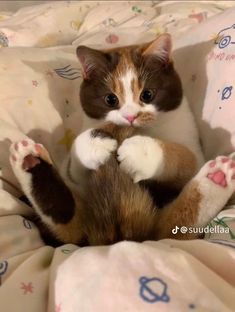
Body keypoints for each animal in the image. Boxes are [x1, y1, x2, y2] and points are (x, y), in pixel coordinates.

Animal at [8, 33, 235, 246]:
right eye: (111, 99)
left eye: (147, 95)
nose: (130, 117)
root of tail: (122, 237)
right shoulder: (75, 175)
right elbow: (75, 163)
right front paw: (94, 144)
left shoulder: (190, 143)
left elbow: (185, 157)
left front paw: (142, 153)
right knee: (71, 229)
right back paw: (31, 162)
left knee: (171, 229)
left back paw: (217, 177)